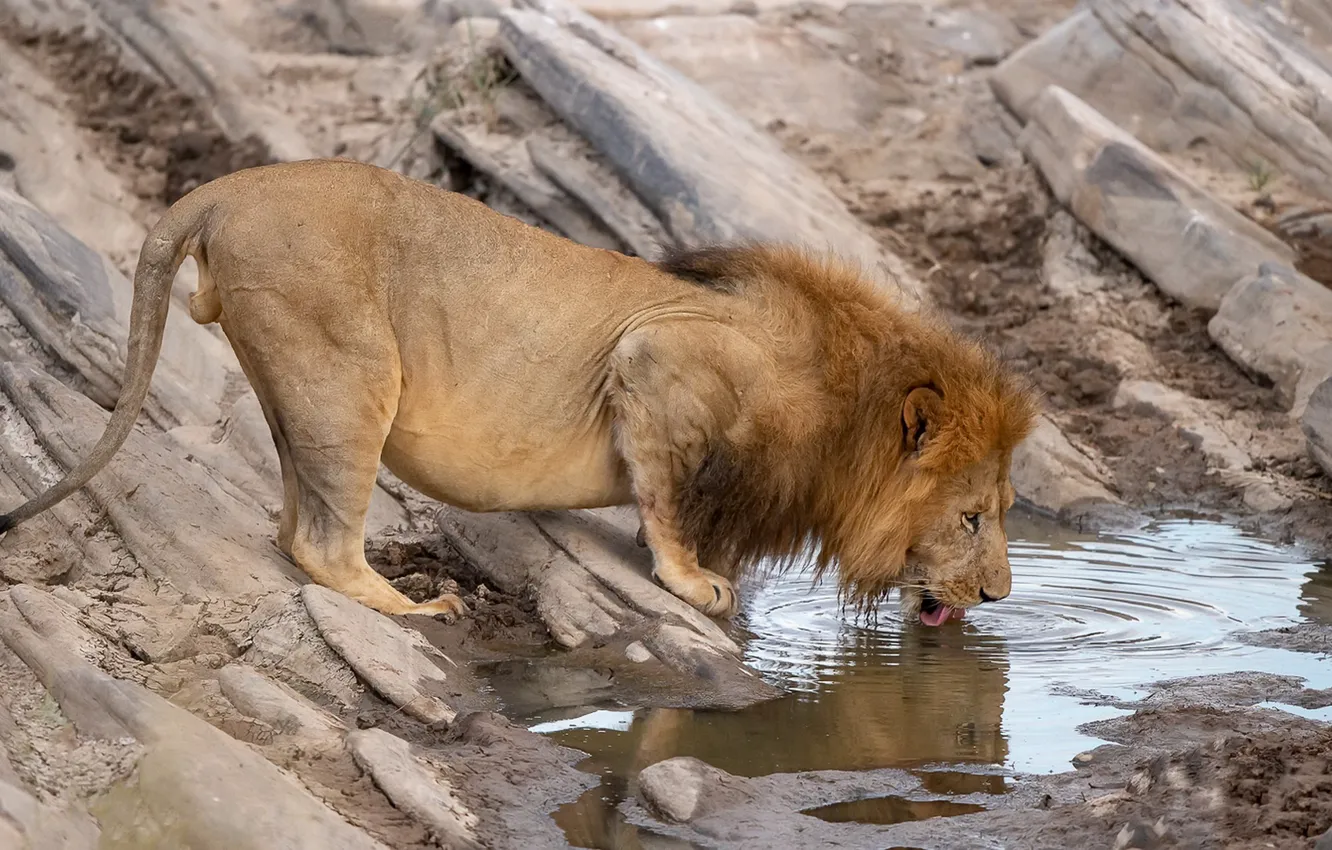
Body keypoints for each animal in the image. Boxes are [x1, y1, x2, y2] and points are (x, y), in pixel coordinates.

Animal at [0, 158, 1038, 626]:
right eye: (973, 518)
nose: (996, 597)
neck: (841, 413)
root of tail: (228, 186)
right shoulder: (657, 359)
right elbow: (668, 503)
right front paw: (692, 580)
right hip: (352, 372)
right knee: (320, 541)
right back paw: (414, 609)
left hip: (296, 373)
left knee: (292, 514)